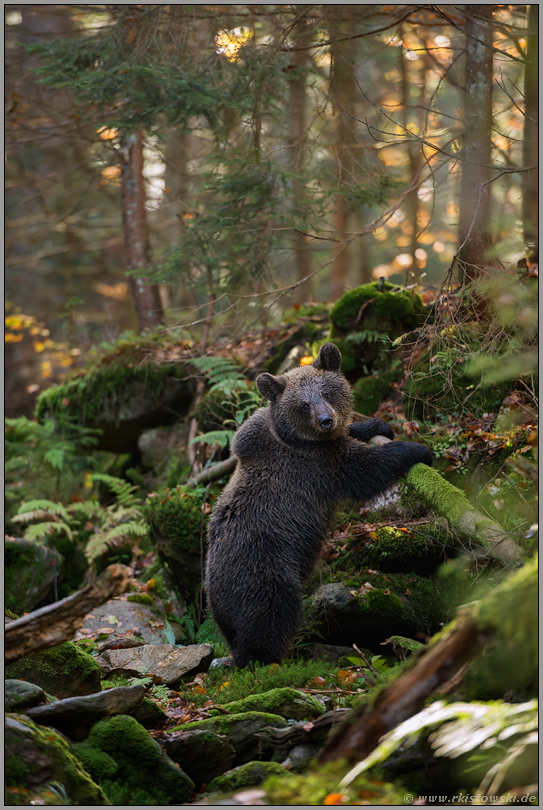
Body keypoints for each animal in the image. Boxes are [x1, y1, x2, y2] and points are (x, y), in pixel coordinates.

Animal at [206, 344, 432, 664]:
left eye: (326, 392)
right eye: (303, 405)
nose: (326, 420)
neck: (298, 439)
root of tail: (213, 601)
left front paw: (377, 424)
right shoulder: (314, 467)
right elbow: (363, 468)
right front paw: (417, 449)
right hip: (263, 568)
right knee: (270, 614)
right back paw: (264, 659)